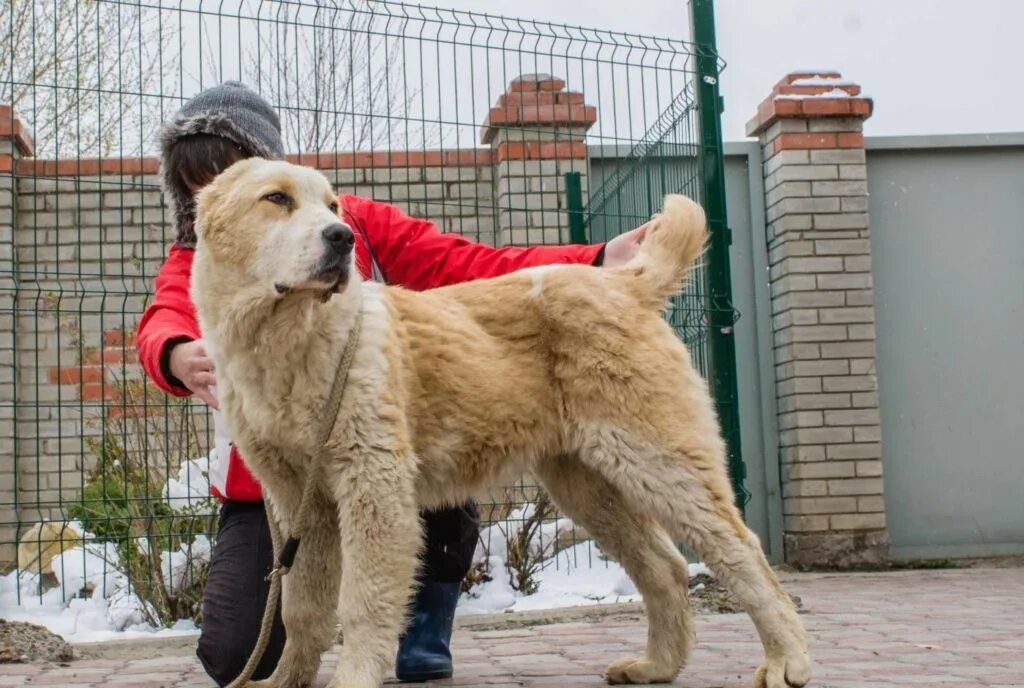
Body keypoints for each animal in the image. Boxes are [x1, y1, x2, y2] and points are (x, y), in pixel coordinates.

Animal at [190, 158, 806, 688]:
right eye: (277, 200)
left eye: (335, 207)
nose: (342, 238)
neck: (285, 339)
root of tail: (622, 284)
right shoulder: (300, 503)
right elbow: (302, 607)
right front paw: (284, 680)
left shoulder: (372, 487)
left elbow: (362, 603)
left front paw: (353, 678)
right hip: (588, 485)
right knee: (666, 565)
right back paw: (658, 665)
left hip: (657, 461)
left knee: (741, 551)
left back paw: (787, 658)